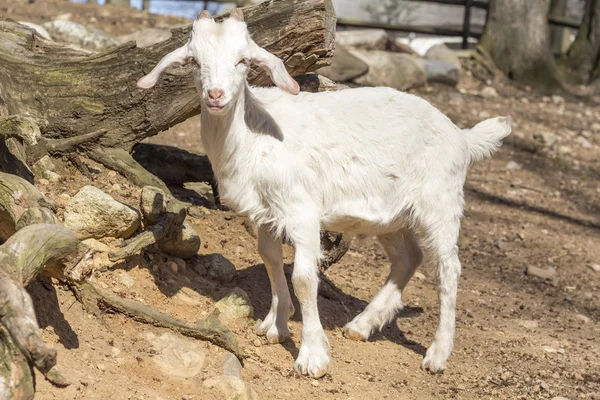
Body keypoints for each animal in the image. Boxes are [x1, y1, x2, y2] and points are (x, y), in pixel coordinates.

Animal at [137, 9, 510, 378]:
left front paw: (312, 355)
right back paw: (362, 325)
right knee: (409, 257)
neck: (252, 134)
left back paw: (437, 354)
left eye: (242, 60)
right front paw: (276, 325)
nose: (215, 96)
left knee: (448, 269)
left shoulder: (302, 209)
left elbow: (303, 277)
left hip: (440, 201)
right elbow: (271, 260)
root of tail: (462, 137)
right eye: (195, 62)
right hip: (392, 213)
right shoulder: (266, 213)